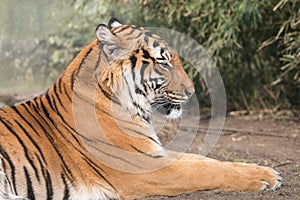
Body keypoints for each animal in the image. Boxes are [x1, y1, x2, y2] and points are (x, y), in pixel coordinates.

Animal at [0, 18, 284, 199]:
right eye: (163, 62)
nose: (192, 92)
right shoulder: (145, 167)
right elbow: (205, 171)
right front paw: (264, 179)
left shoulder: (155, 152)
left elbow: (208, 160)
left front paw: (265, 171)